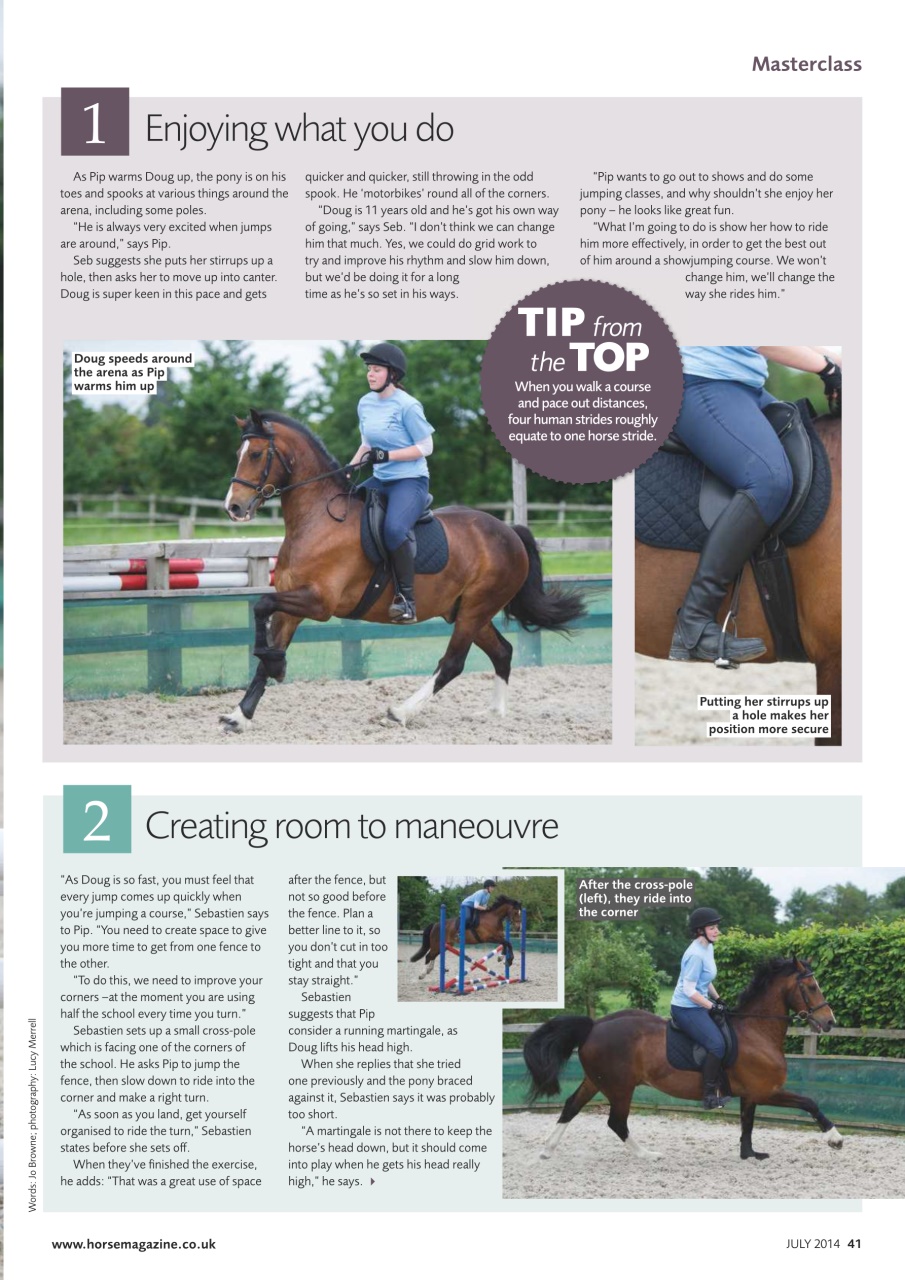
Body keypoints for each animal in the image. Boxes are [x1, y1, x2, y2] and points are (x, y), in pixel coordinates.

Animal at [220, 410, 586, 732]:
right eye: (238, 453)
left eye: (255, 454)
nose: (233, 507)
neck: (318, 520)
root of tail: (510, 531)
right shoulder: (292, 604)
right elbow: (265, 631)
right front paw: (242, 714)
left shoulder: (319, 603)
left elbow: (261, 605)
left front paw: (272, 666)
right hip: (467, 612)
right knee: (502, 653)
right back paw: (494, 712)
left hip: (475, 610)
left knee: (452, 663)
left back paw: (400, 713)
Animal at [523, 957, 841, 1162]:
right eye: (811, 987)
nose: (830, 1022)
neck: (756, 1031)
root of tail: (594, 1026)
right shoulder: (767, 1091)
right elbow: (810, 1103)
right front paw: (835, 1138)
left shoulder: (751, 1095)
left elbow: (747, 1123)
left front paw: (750, 1154)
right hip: (620, 1087)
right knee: (617, 1122)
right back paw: (648, 1155)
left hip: (597, 1081)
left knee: (571, 1107)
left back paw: (547, 1150)